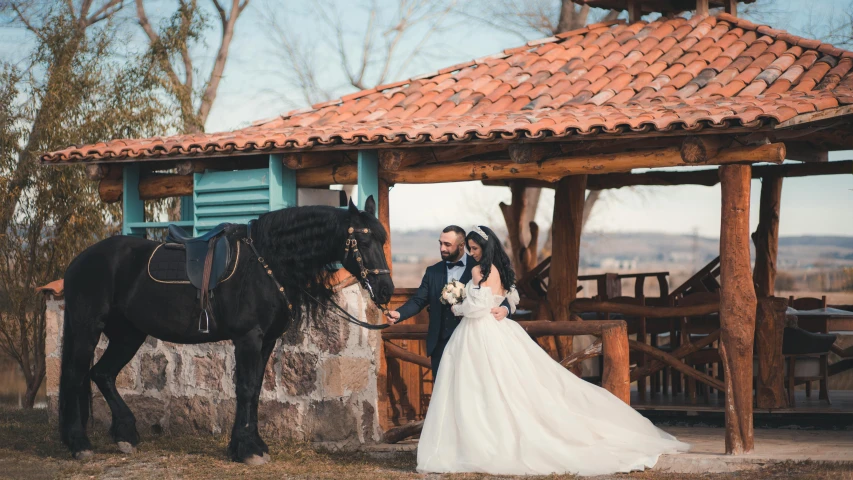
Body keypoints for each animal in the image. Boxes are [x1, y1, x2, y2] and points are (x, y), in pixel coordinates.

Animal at [58, 197, 392, 464]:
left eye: (382, 239)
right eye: (363, 242)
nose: (386, 290)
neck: (267, 264)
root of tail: (78, 262)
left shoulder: (266, 341)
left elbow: (254, 390)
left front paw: (250, 445)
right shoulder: (248, 338)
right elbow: (244, 389)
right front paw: (247, 450)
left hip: (129, 335)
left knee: (102, 374)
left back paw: (125, 435)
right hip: (88, 330)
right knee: (77, 377)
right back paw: (80, 444)